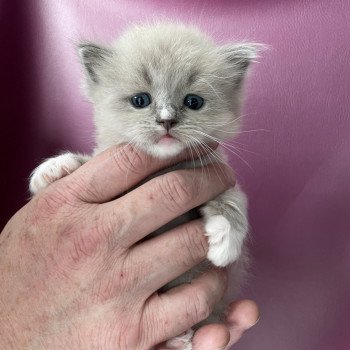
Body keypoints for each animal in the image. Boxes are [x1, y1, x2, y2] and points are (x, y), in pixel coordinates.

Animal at [29, 22, 260, 350]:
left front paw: (225, 243)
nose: (166, 121)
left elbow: (231, 204)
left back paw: (180, 338)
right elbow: (86, 161)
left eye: (193, 102)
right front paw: (53, 169)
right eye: (141, 100)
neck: (161, 169)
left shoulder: (220, 178)